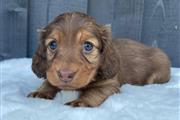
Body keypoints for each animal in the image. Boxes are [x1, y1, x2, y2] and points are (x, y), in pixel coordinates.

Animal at [27, 11, 171, 107]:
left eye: (88, 46)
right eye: (52, 44)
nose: (65, 75)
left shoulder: (110, 85)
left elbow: (95, 91)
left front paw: (81, 102)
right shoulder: (51, 74)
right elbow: (49, 82)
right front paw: (40, 92)